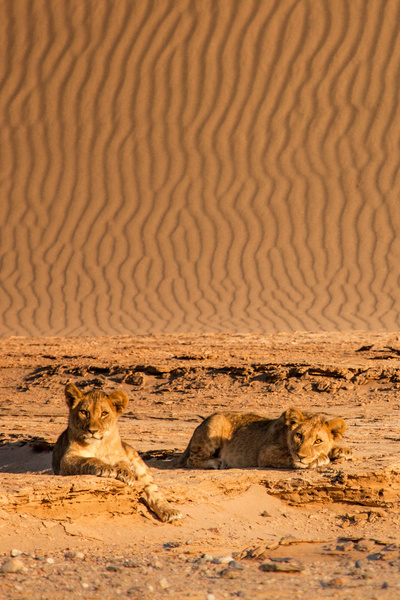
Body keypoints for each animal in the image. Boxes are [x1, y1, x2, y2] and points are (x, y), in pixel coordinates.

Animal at [52, 384, 181, 520]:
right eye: (83, 412)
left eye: (104, 413)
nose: (92, 431)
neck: (98, 445)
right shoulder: (67, 459)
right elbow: (88, 459)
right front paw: (106, 468)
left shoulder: (119, 456)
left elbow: (124, 464)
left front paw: (126, 474)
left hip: (138, 462)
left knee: (153, 490)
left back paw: (169, 511)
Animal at [177, 408, 352, 468]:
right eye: (299, 435)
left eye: (318, 441)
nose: (301, 456)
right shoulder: (265, 453)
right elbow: (288, 456)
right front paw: (319, 459)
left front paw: (342, 451)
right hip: (216, 421)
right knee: (191, 460)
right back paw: (216, 463)